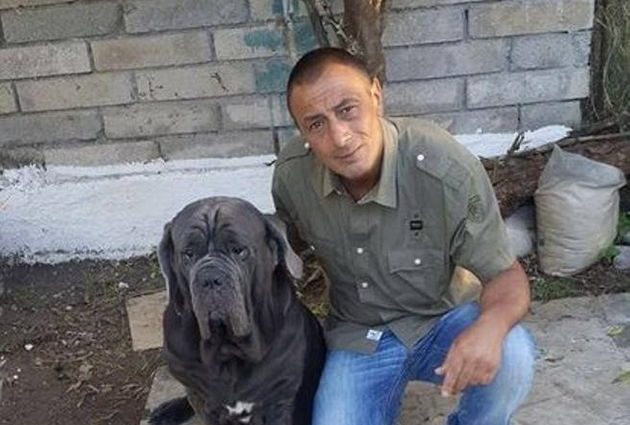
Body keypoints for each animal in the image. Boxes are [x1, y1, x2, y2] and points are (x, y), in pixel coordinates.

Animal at [149, 197, 326, 425]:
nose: (210, 278)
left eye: (238, 250)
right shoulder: (201, 400)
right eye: (188, 254)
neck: (228, 349)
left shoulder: (284, 399)